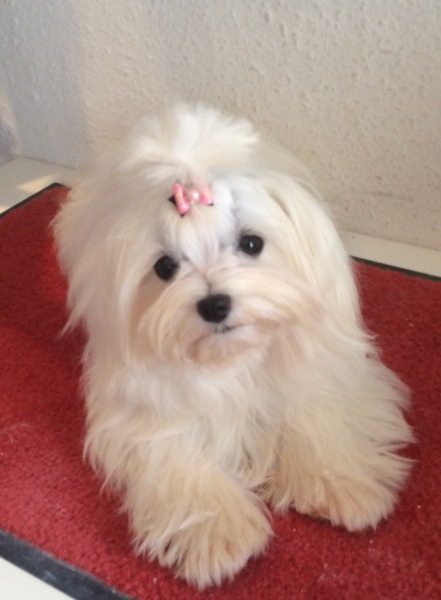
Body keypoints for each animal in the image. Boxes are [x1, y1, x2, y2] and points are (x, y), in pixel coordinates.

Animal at [53, 104, 414, 589]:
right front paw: (216, 534)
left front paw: (342, 483)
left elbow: (314, 411)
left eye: (251, 243)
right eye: (165, 267)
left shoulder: (321, 366)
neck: (234, 358)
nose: (214, 304)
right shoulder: (146, 412)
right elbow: (179, 454)